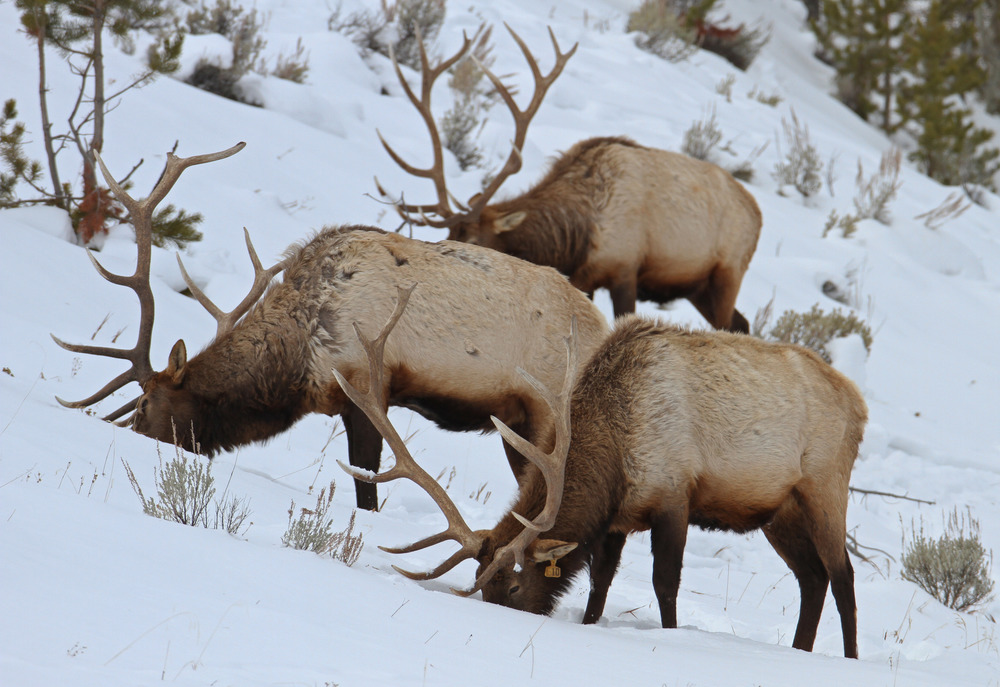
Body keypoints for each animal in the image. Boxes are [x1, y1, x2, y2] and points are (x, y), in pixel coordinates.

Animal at [52, 143, 610, 512]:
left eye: (146, 404)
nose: (126, 437)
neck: (297, 356)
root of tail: (604, 329)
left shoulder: (367, 386)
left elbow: (367, 485)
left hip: (545, 416)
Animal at [338, 296, 867, 658]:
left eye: (512, 587)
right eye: (482, 583)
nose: (504, 622)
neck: (615, 451)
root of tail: (858, 402)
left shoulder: (674, 496)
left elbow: (665, 583)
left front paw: (669, 636)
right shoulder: (617, 520)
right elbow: (599, 583)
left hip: (825, 486)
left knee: (843, 577)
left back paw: (849, 658)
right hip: (778, 513)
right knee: (813, 578)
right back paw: (800, 650)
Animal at [376, 24, 762, 332]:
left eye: (474, 241)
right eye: (447, 238)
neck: (577, 239)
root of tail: (757, 213)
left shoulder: (625, 269)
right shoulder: (583, 278)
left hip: (729, 273)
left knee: (732, 324)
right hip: (699, 288)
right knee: (742, 323)